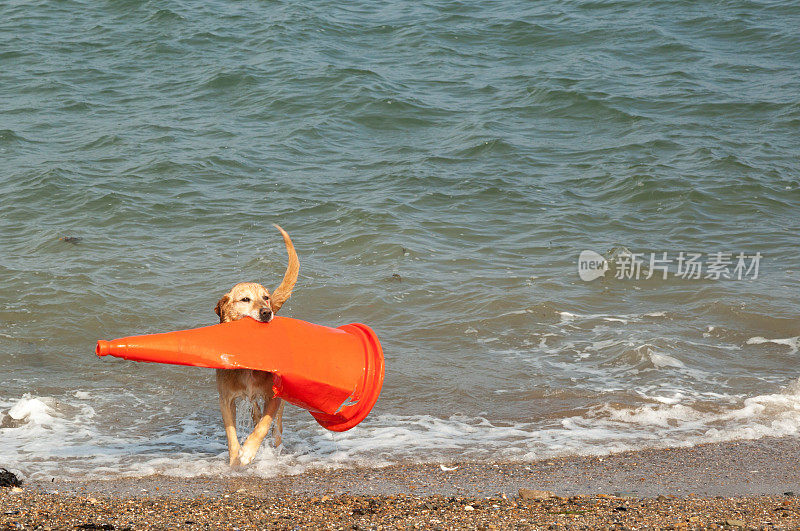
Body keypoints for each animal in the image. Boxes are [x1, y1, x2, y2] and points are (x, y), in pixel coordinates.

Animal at [214, 224, 298, 466]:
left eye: (266, 297)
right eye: (245, 300)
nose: (267, 312)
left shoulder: (274, 396)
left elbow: (264, 426)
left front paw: (249, 451)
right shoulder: (226, 399)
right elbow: (231, 434)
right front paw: (235, 459)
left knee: (275, 428)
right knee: (254, 409)